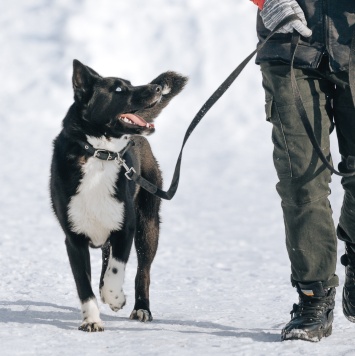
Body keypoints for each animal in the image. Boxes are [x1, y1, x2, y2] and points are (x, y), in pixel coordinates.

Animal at [51, 60, 189, 330]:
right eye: (118, 89)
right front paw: (92, 320)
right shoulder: (74, 239)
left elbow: (117, 269)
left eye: (130, 83)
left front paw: (115, 298)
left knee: (142, 271)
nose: (157, 88)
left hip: (148, 225)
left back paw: (141, 308)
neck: (98, 154)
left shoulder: (126, 228)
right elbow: (84, 285)